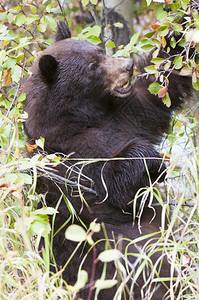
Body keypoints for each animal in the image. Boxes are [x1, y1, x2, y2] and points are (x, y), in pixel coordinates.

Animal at [23, 4, 197, 298]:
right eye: (92, 66)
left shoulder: (125, 114)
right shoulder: (68, 157)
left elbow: (161, 83)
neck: (83, 118)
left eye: (99, 50)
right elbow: (110, 184)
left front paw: (184, 25)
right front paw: (149, 158)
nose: (127, 65)